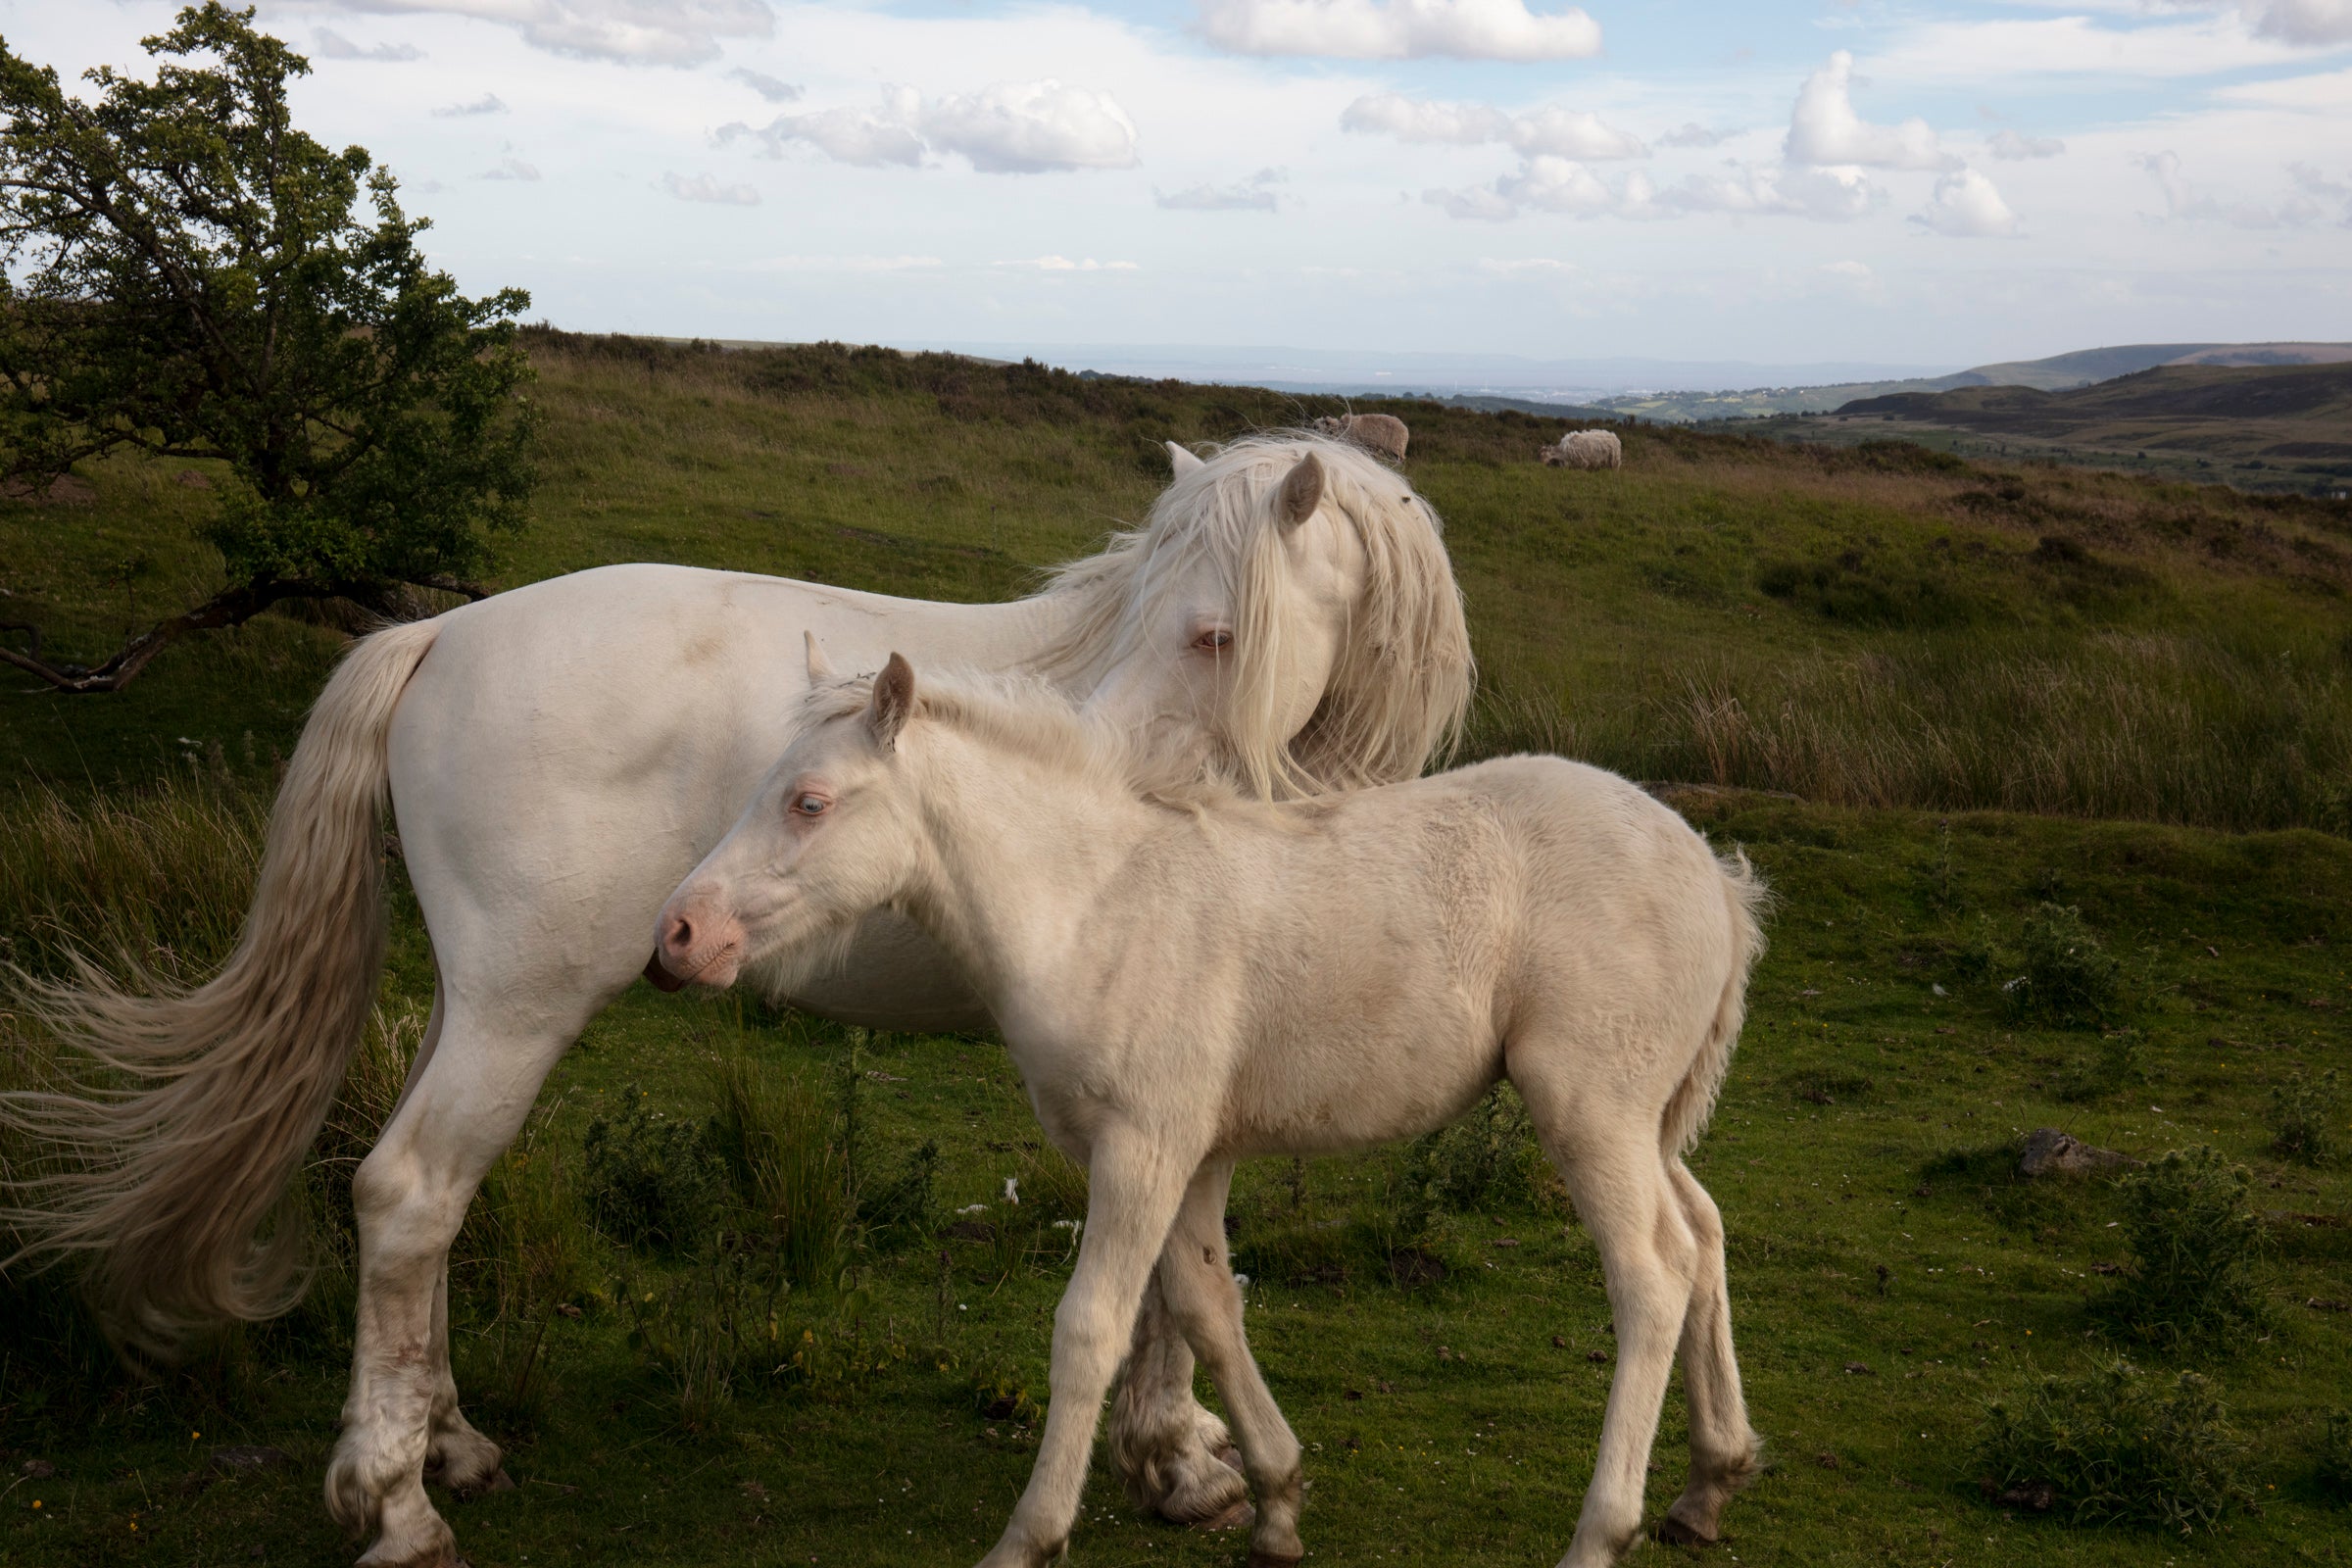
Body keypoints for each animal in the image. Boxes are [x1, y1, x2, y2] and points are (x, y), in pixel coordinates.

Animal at [0, 434, 1467, 1568]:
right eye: (1178, 622)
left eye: (1214, 631)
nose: (1122, 787)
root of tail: (441, 631)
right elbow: (1166, 1273)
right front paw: (1181, 1465)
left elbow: (1177, 1269)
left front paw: (1179, 1453)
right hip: (518, 1010)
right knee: (411, 1195)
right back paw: (397, 1506)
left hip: (474, 1007)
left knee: (413, 1206)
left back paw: (447, 1439)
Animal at [659, 653, 1768, 1568]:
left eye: (810, 802)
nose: (679, 934)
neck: (1096, 905)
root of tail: (1713, 875)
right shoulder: (1193, 1151)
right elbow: (1206, 1305)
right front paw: (1274, 1501)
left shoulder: (1141, 1147)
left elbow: (1092, 1328)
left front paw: (1030, 1537)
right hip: (1644, 1120)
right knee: (1706, 1231)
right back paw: (1709, 1483)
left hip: (1588, 1109)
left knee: (1652, 1275)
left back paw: (1602, 1530)